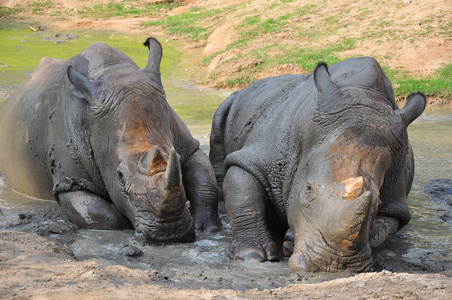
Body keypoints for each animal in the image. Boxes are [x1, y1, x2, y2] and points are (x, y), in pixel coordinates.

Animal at [0, 38, 221, 244]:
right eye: (119, 176)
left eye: (178, 162)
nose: (171, 233)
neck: (113, 72)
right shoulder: (70, 181)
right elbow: (103, 215)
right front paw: (130, 224)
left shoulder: (186, 143)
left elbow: (204, 182)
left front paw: (208, 228)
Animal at [210, 57, 426, 274]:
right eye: (308, 188)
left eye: (378, 201)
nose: (335, 265)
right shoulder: (254, 159)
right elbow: (243, 195)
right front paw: (251, 256)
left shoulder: (394, 203)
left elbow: (381, 229)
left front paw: (289, 241)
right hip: (236, 100)